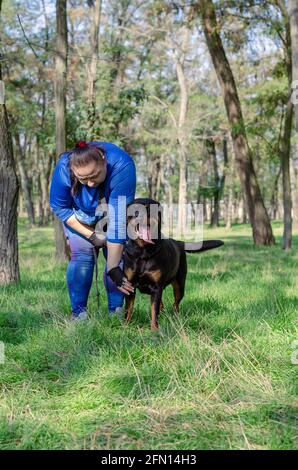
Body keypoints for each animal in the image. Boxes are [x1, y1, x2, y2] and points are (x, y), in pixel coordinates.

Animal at [122, 198, 222, 330]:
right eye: (136, 211)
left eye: (152, 210)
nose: (144, 215)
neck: (143, 251)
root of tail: (179, 242)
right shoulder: (129, 285)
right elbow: (128, 309)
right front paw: (125, 326)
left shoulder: (156, 287)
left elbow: (154, 311)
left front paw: (154, 329)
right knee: (162, 304)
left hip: (179, 284)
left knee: (175, 304)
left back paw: (176, 317)